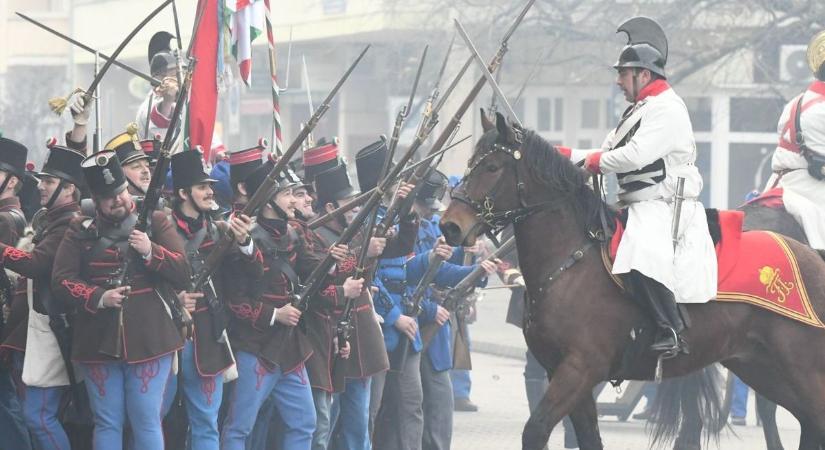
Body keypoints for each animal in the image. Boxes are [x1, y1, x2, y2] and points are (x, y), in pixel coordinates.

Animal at [444, 112, 825, 450]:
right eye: (471, 162)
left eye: (492, 167)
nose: (450, 226)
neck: (571, 261)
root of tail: (812, 256)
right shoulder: (564, 374)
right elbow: (587, 438)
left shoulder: (578, 370)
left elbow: (535, 430)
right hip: (761, 368)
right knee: (806, 422)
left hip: (800, 370)